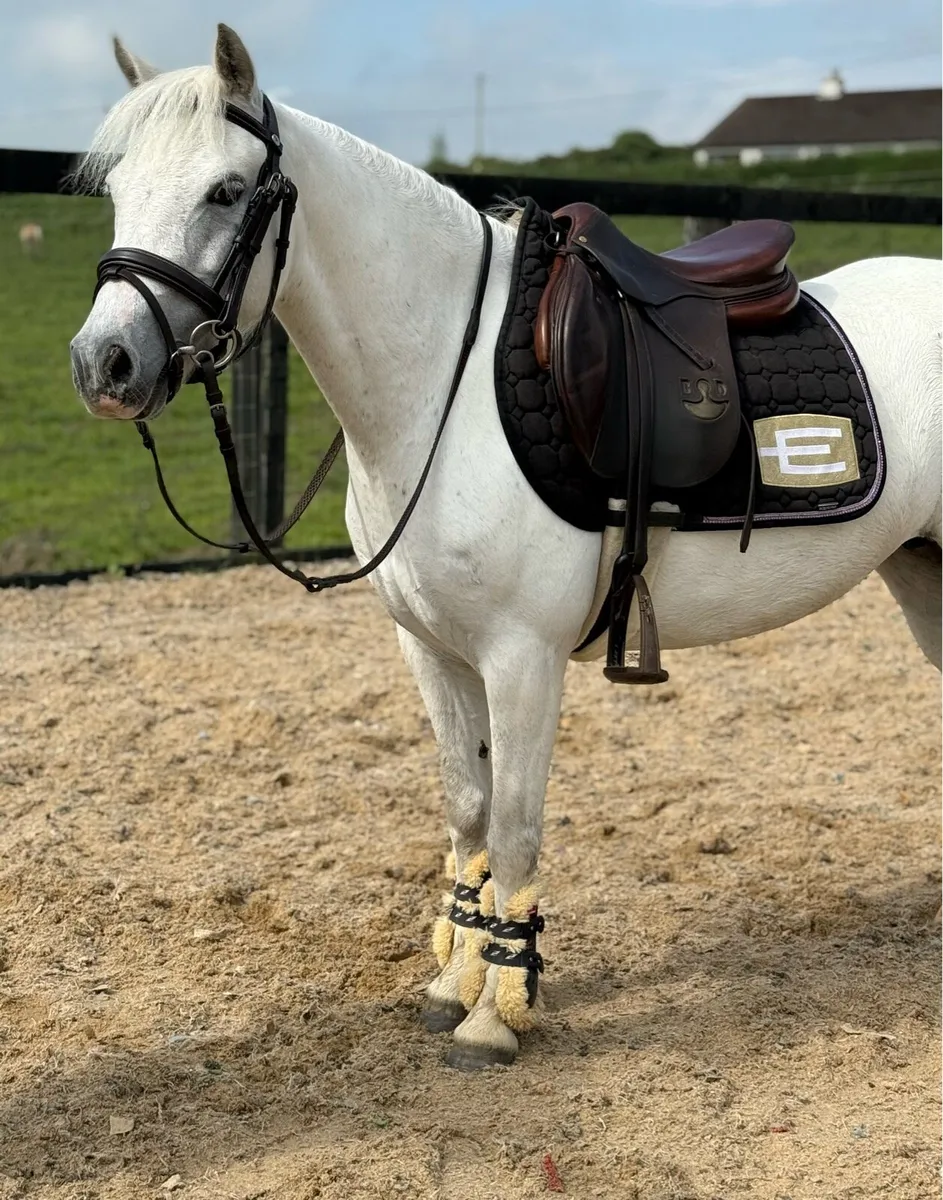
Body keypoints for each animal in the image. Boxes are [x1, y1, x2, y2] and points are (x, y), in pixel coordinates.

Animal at [69, 25, 941, 1070]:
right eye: (119, 188)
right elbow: (468, 806)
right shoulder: (431, 649)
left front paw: (500, 1007)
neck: (442, 383)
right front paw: (456, 976)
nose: (105, 364)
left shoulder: (523, 657)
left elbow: (520, 822)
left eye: (226, 191)